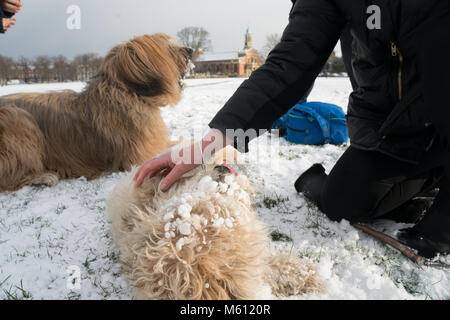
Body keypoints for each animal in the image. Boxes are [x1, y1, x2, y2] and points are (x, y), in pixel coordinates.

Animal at [0, 33, 192, 191]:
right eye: (167, 48)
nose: (190, 50)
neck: (128, 93)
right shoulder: (141, 156)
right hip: (19, 120)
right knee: (7, 179)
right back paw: (43, 177)